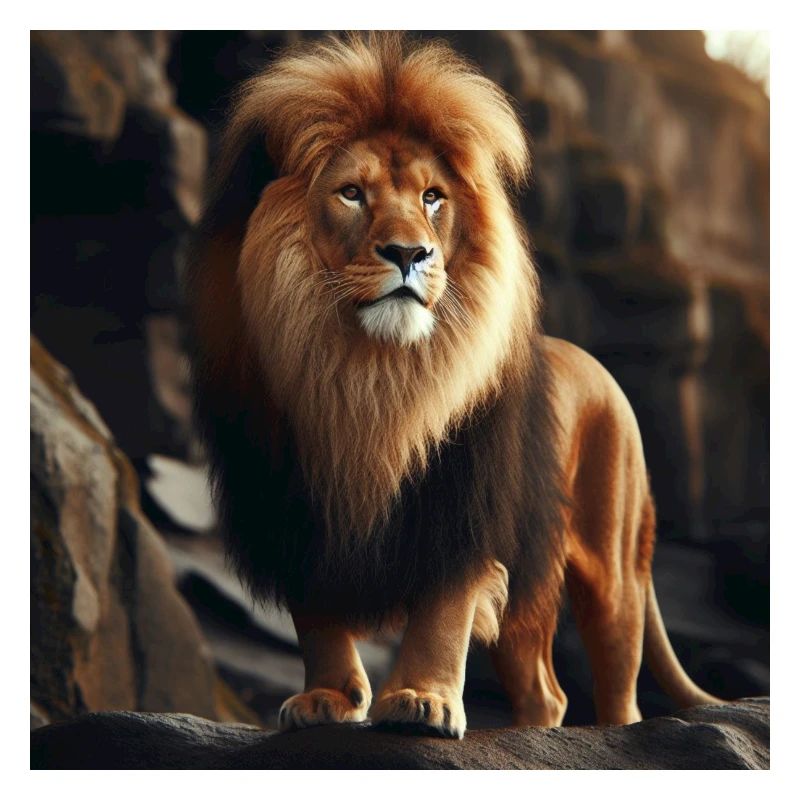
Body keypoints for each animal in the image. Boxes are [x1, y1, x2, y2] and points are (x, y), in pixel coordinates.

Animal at [187, 33, 721, 739]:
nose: (410, 253)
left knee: (618, 684)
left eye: (433, 197)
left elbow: (441, 613)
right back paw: (524, 735)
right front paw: (328, 699)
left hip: (614, 569)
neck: (367, 376)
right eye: (351, 193)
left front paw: (422, 701)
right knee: (546, 689)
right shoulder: (291, 502)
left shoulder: (463, 501)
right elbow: (317, 617)